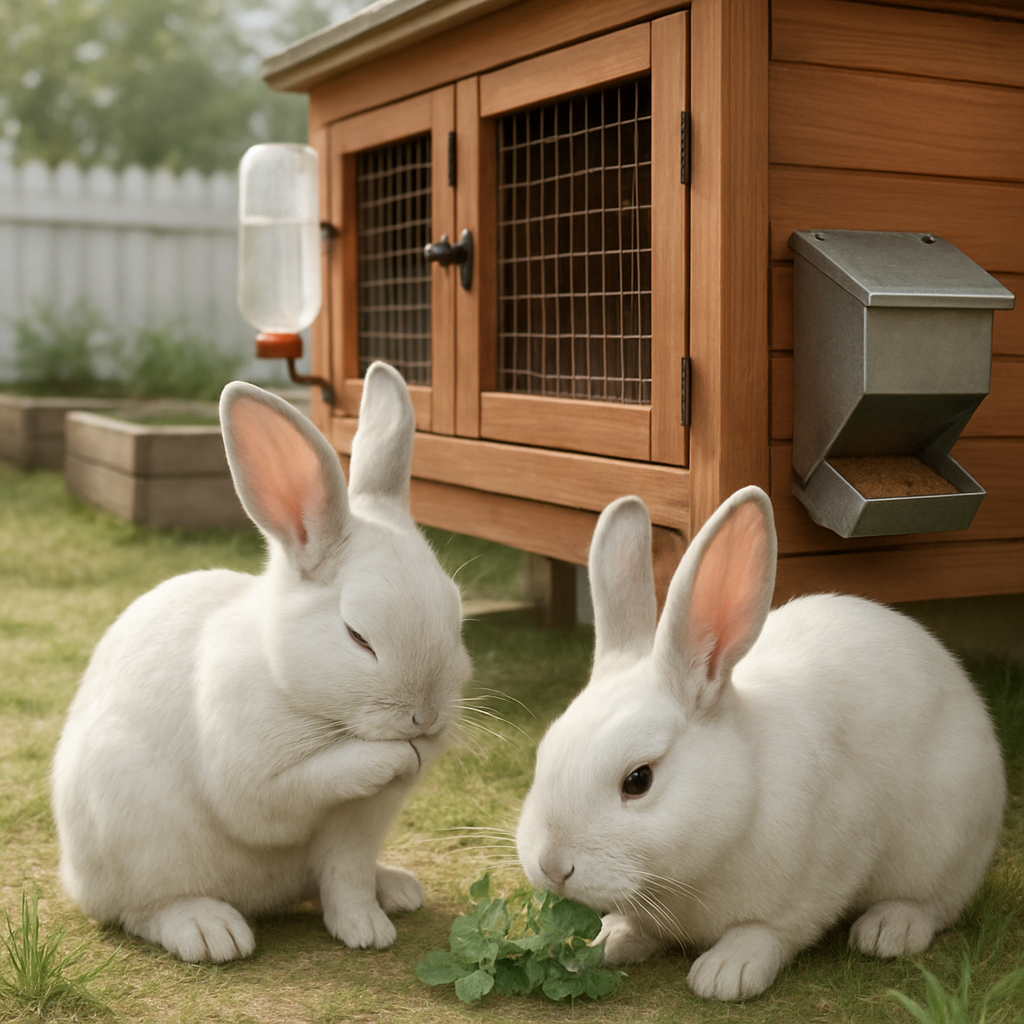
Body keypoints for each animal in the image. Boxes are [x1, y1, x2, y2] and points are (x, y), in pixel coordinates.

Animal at [51, 361, 471, 963]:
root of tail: (73, 875)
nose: (426, 719)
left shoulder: (356, 831)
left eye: (458, 619)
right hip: (130, 837)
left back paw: (395, 888)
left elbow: (345, 880)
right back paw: (209, 930)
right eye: (358, 637)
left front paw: (366, 930)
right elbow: (290, 790)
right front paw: (394, 757)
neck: (288, 679)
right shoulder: (256, 777)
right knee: (139, 909)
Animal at [516, 486, 1005, 1001]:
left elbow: (769, 930)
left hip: (945, 843)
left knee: (937, 902)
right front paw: (611, 939)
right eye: (543, 755)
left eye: (638, 780)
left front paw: (726, 973)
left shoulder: (824, 873)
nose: (552, 866)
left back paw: (889, 929)